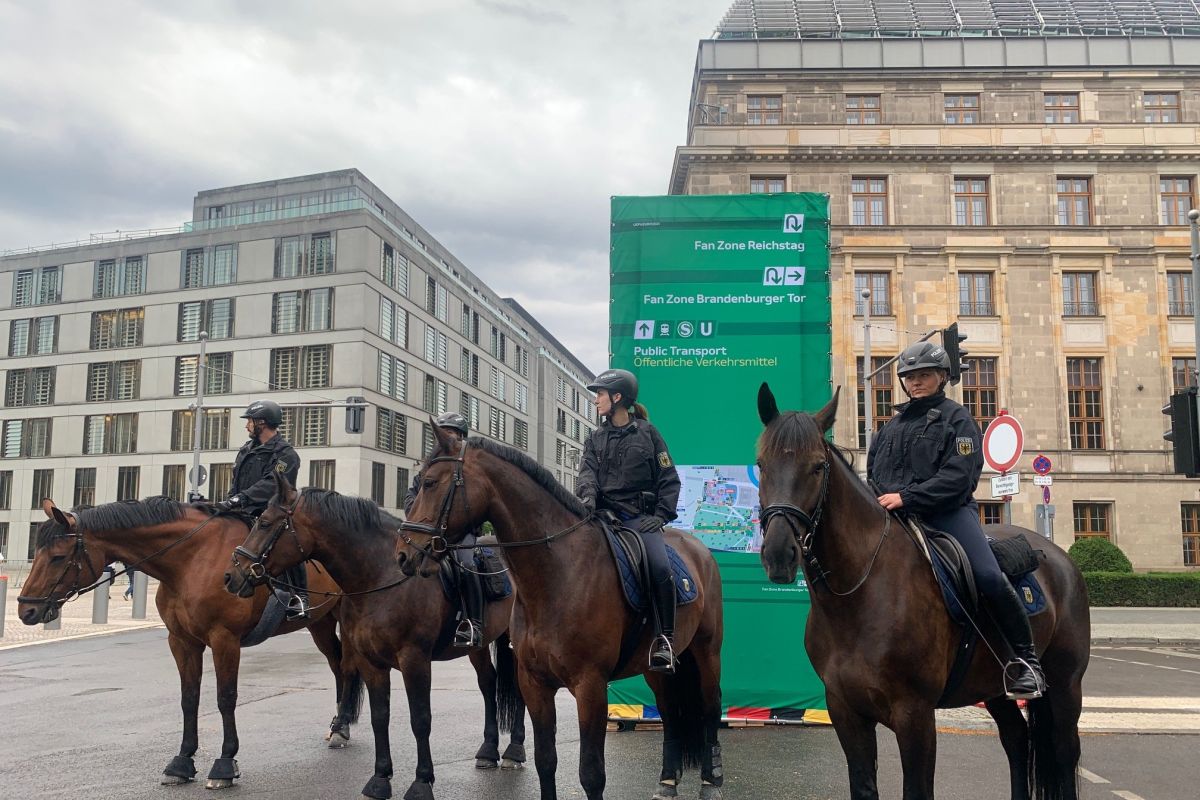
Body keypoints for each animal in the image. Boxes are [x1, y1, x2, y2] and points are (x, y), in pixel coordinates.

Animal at [17, 496, 350, 791]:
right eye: (37, 551)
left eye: (58, 556)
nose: (26, 610)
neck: (191, 561)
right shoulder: (181, 642)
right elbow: (189, 699)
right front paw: (182, 762)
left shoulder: (224, 639)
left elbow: (226, 698)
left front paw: (225, 763)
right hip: (319, 623)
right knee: (338, 665)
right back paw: (339, 726)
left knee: (344, 667)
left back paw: (341, 728)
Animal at [225, 474, 525, 800]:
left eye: (264, 523)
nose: (232, 576)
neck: (381, 577)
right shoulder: (371, 661)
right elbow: (379, 717)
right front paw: (380, 779)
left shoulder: (415, 659)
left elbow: (421, 719)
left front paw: (422, 782)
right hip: (477, 647)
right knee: (488, 683)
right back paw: (488, 750)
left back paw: (514, 750)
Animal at [398, 429, 724, 800]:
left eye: (430, 483)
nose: (404, 553)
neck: (556, 575)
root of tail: (698, 548)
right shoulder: (535, 683)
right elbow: (545, 761)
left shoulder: (590, 685)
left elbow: (591, 773)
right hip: (654, 665)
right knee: (669, 711)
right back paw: (668, 781)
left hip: (707, 652)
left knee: (711, 708)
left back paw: (711, 780)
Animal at [753, 383, 1094, 796]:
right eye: (761, 464)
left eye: (818, 466)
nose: (778, 554)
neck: (858, 596)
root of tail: (1060, 558)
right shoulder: (845, 711)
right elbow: (863, 785)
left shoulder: (914, 715)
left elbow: (917, 789)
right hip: (995, 689)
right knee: (1016, 740)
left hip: (1064, 686)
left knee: (1062, 754)